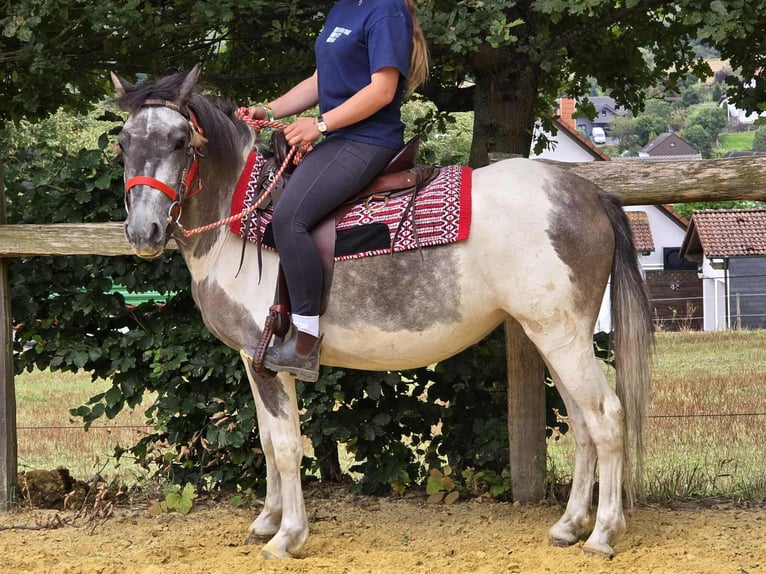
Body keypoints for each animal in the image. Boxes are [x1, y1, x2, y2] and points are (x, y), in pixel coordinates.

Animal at [110, 65, 652, 560]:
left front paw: (288, 536)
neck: (242, 220)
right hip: (550, 336)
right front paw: (267, 520)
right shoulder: (252, 358)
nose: (143, 232)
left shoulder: (270, 360)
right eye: (122, 142)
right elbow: (265, 438)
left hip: (561, 335)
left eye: (180, 140)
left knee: (606, 418)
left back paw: (603, 534)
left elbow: (286, 446)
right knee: (582, 423)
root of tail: (590, 193)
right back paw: (569, 525)